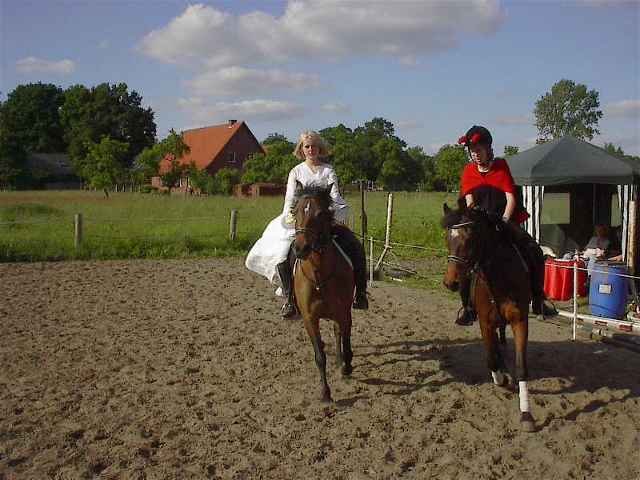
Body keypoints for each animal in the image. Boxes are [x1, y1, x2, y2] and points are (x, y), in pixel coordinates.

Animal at [292, 182, 355, 403]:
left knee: (340, 333)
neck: (320, 275)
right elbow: (319, 355)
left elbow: (345, 339)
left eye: (320, 214)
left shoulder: (344, 312)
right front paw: (325, 392)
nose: (300, 248)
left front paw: (347, 366)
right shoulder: (310, 319)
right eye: (294, 212)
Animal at [441, 199, 536, 432]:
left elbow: (521, 366)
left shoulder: (520, 320)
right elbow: (491, 359)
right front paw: (500, 378)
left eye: (470, 237)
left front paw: (526, 414)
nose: (450, 282)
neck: (499, 276)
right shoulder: (485, 322)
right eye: (447, 238)